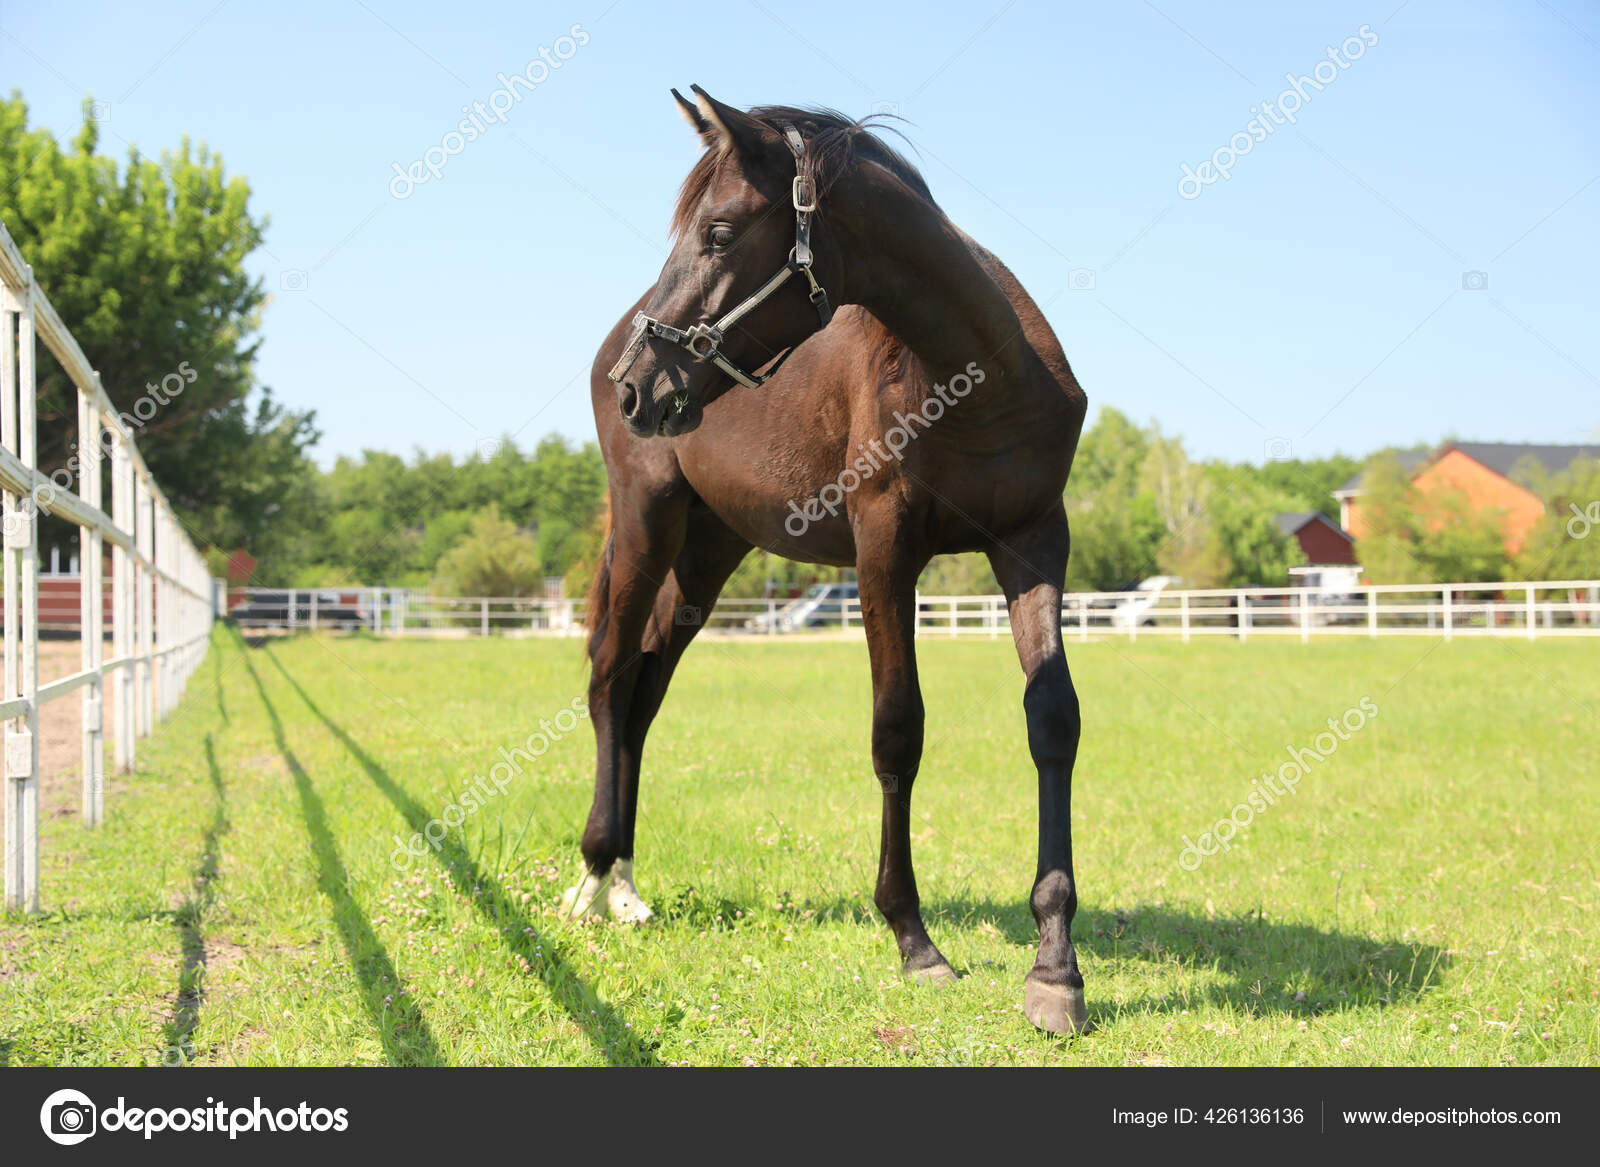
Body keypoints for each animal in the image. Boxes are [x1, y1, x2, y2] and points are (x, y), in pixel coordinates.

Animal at [562, 86, 1090, 1035]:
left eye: (720, 231)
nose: (638, 381)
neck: (977, 379)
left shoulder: (1034, 542)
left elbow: (1052, 720)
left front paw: (1056, 969)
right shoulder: (884, 547)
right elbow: (898, 729)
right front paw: (913, 938)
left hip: (708, 551)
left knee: (645, 689)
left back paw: (623, 881)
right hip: (647, 523)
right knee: (611, 676)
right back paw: (592, 877)